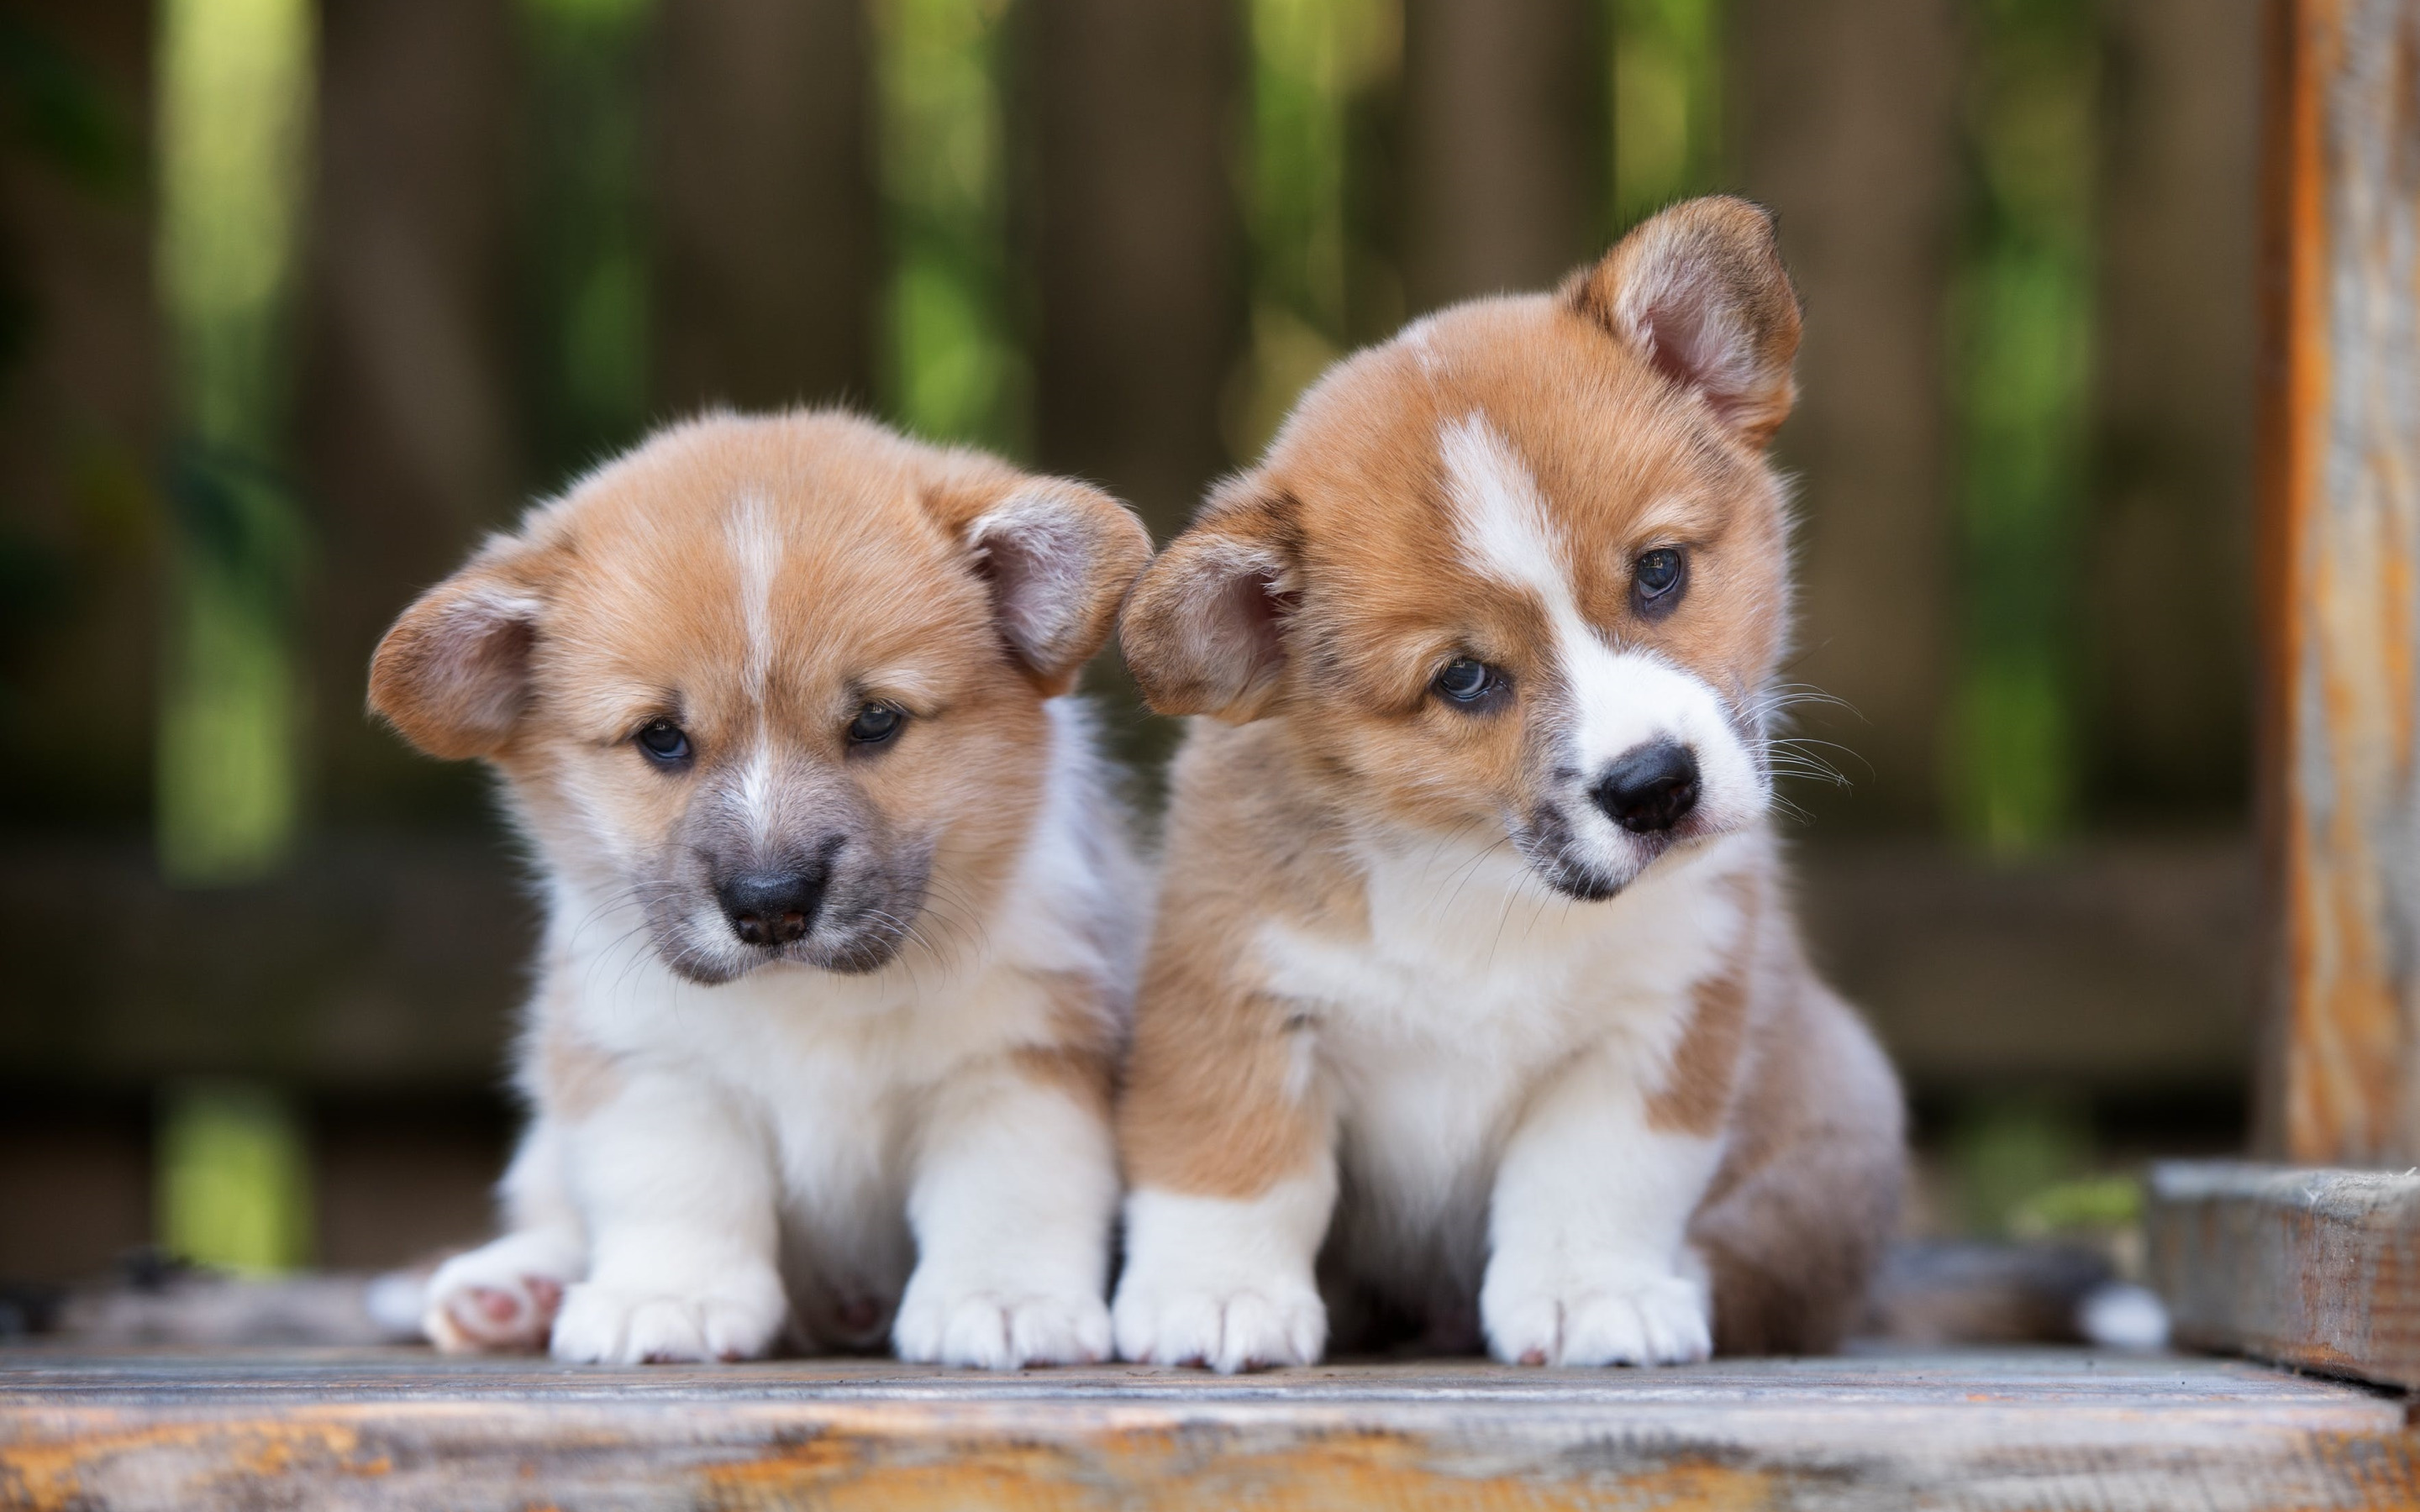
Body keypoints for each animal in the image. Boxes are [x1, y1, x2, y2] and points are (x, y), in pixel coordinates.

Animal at [367, 406, 1151, 1364]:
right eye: (660, 738)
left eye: (876, 721)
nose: (772, 905)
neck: (806, 998)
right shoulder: (650, 1062)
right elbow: (678, 1188)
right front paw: (667, 1297)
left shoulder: (1022, 1053)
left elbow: (1007, 1193)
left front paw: (1001, 1299)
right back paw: (514, 1289)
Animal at [1108, 197, 1897, 1364]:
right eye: (1465, 678)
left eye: (1659, 572)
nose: (1655, 787)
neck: (1482, 874)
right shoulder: (1233, 988)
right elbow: (1235, 1156)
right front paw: (1216, 1295)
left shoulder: (1659, 1019)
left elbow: (1590, 1179)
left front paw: (1590, 1294)